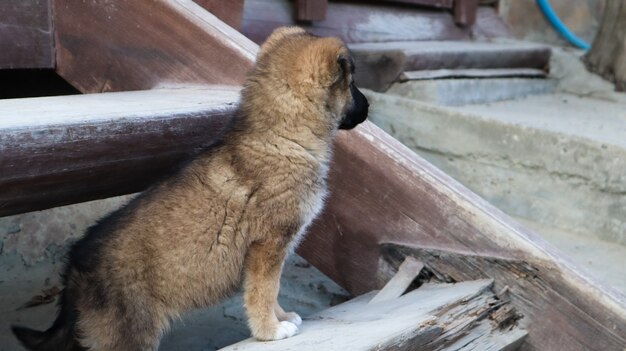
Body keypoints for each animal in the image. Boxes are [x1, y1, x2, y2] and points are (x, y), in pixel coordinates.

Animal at [11, 27, 366, 351]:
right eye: (352, 84)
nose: (366, 107)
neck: (279, 136)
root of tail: (74, 271)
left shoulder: (273, 252)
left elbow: (271, 290)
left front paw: (281, 318)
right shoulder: (267, 246)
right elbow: (262, 293)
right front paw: (270, 330)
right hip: (128, 334)